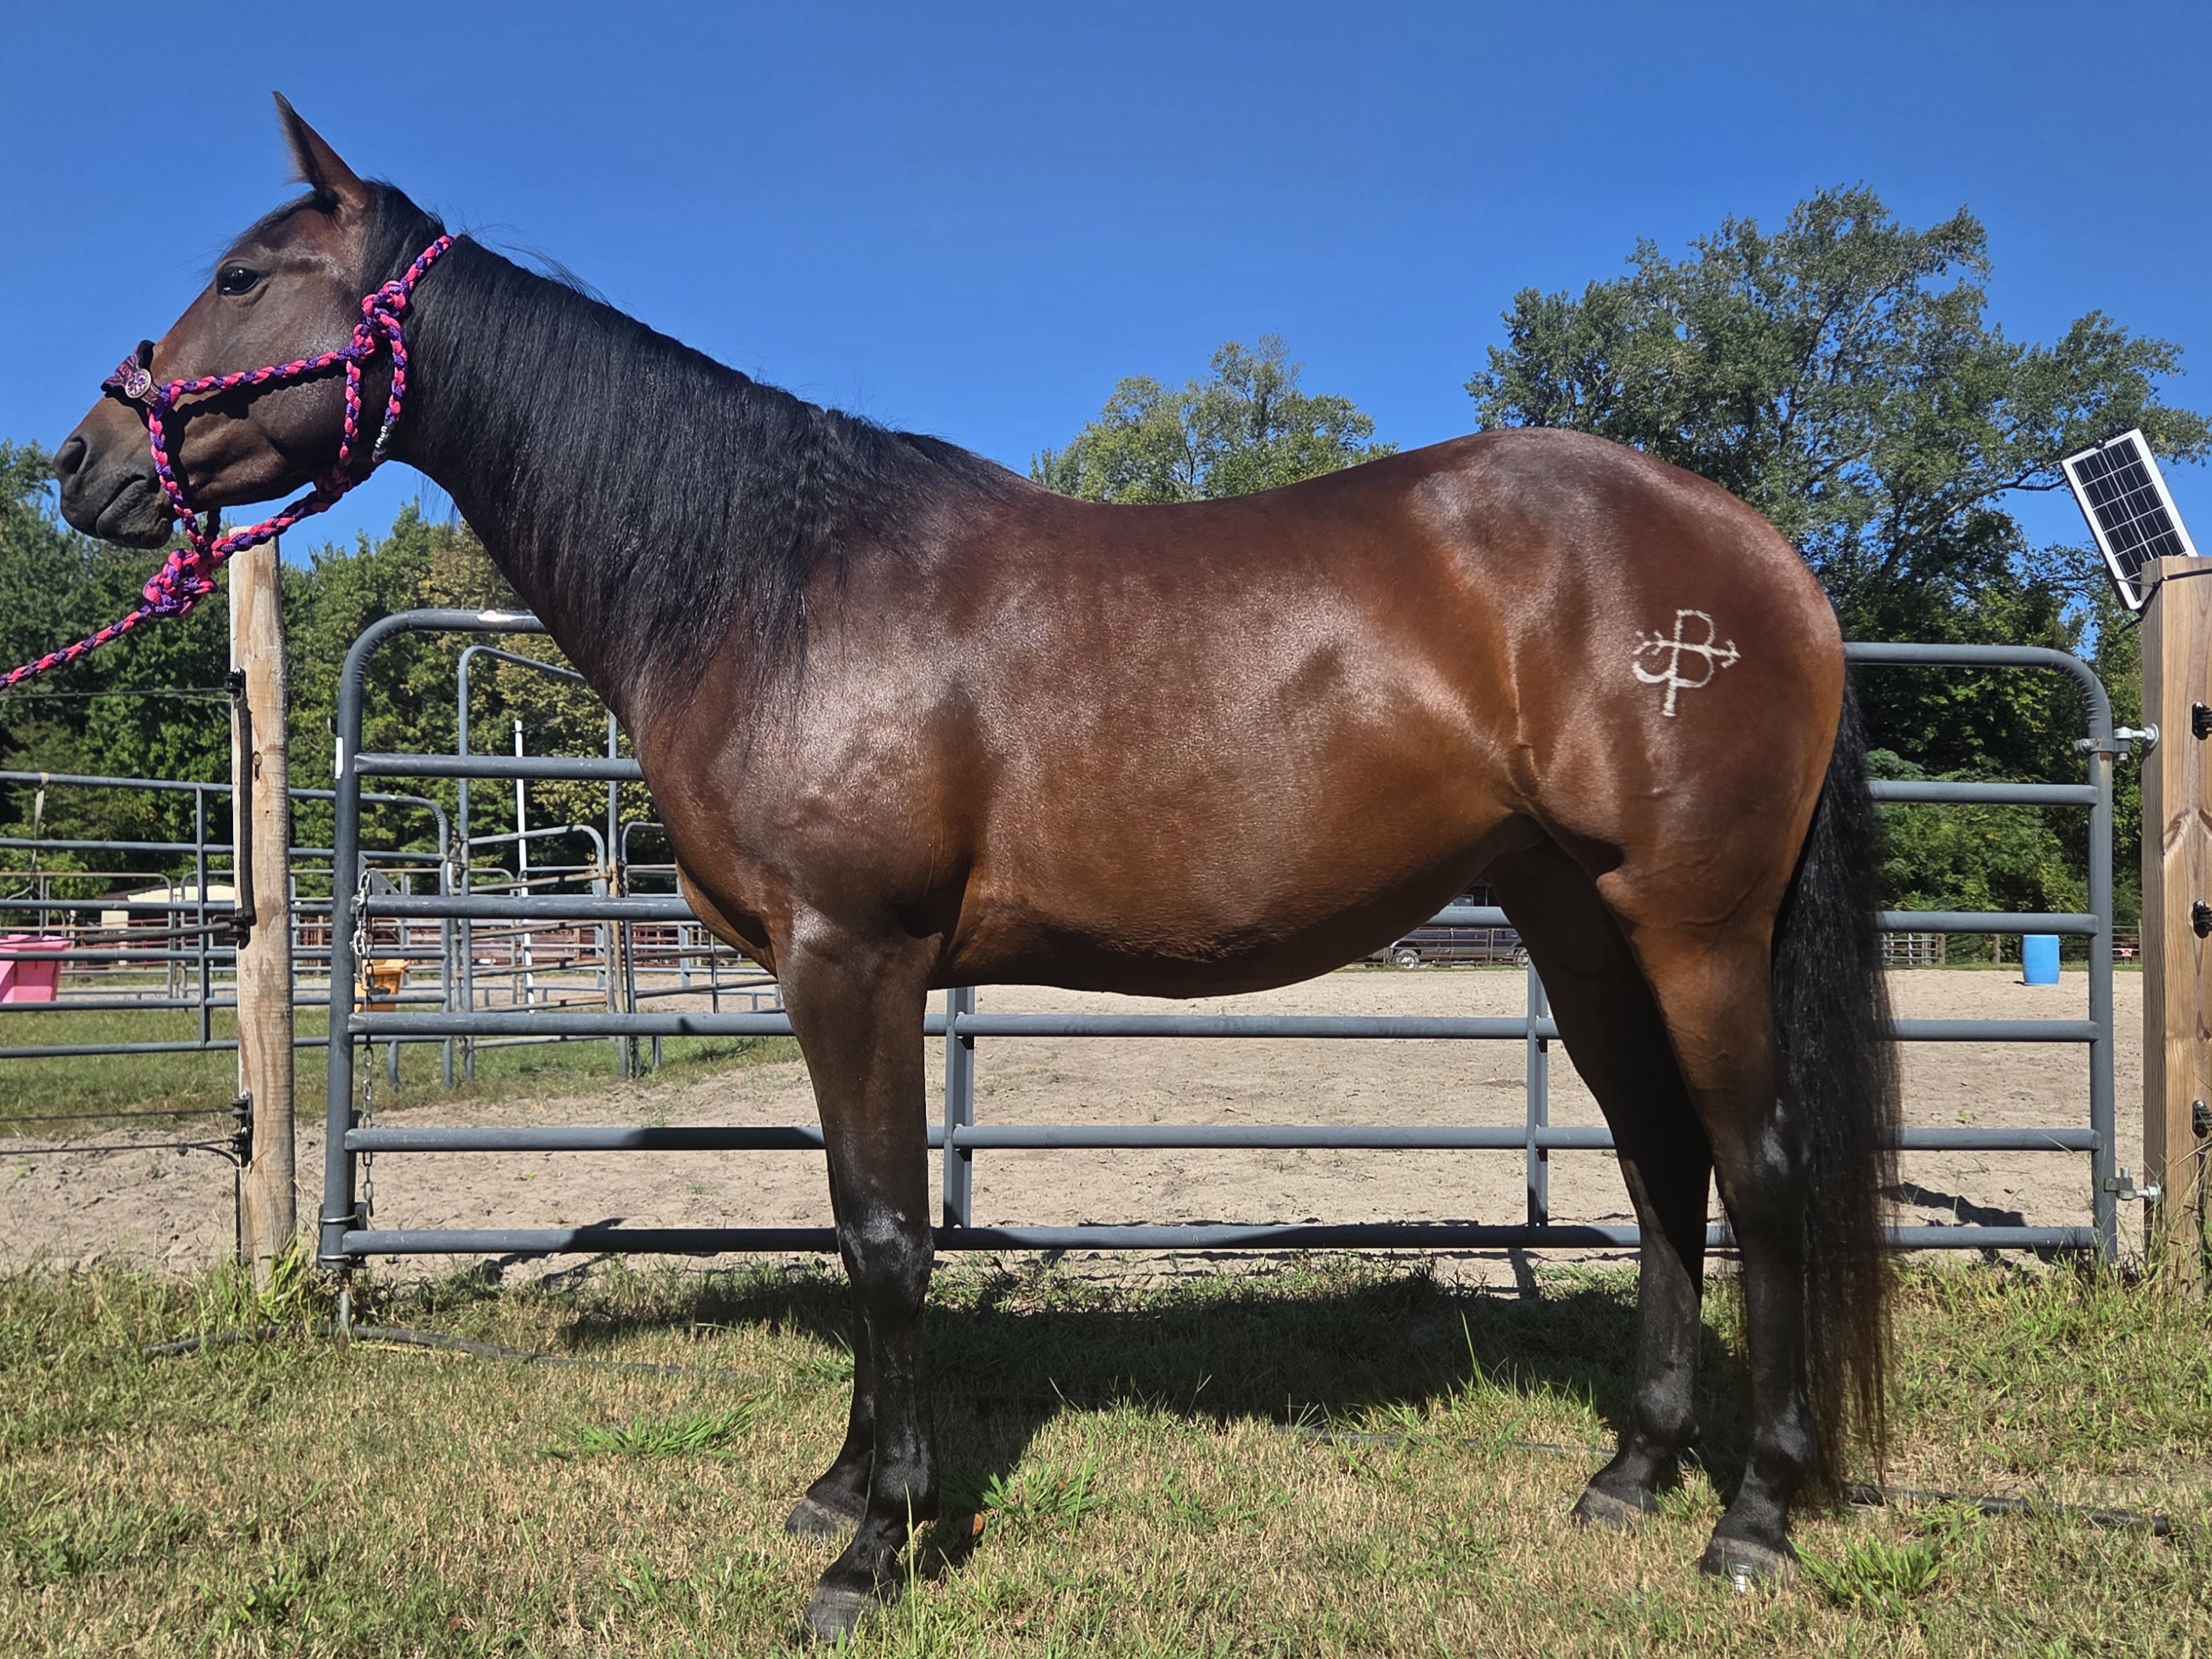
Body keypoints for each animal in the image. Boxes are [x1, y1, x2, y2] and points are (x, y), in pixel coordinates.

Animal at [54, 98, 1899, 1641]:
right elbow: (851, 1209)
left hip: (1697, 930)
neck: (771, 582)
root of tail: (1763, 557)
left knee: (1762, 1174)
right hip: (1579, 928)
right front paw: (838, 1487)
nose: (81, 466)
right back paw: (1630, 1472)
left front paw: (878, 1546)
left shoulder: (852, 955)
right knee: (1662, 1168)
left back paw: (1748, 1517)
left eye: (242, 275)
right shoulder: (834, 977)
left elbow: (884, 1233)